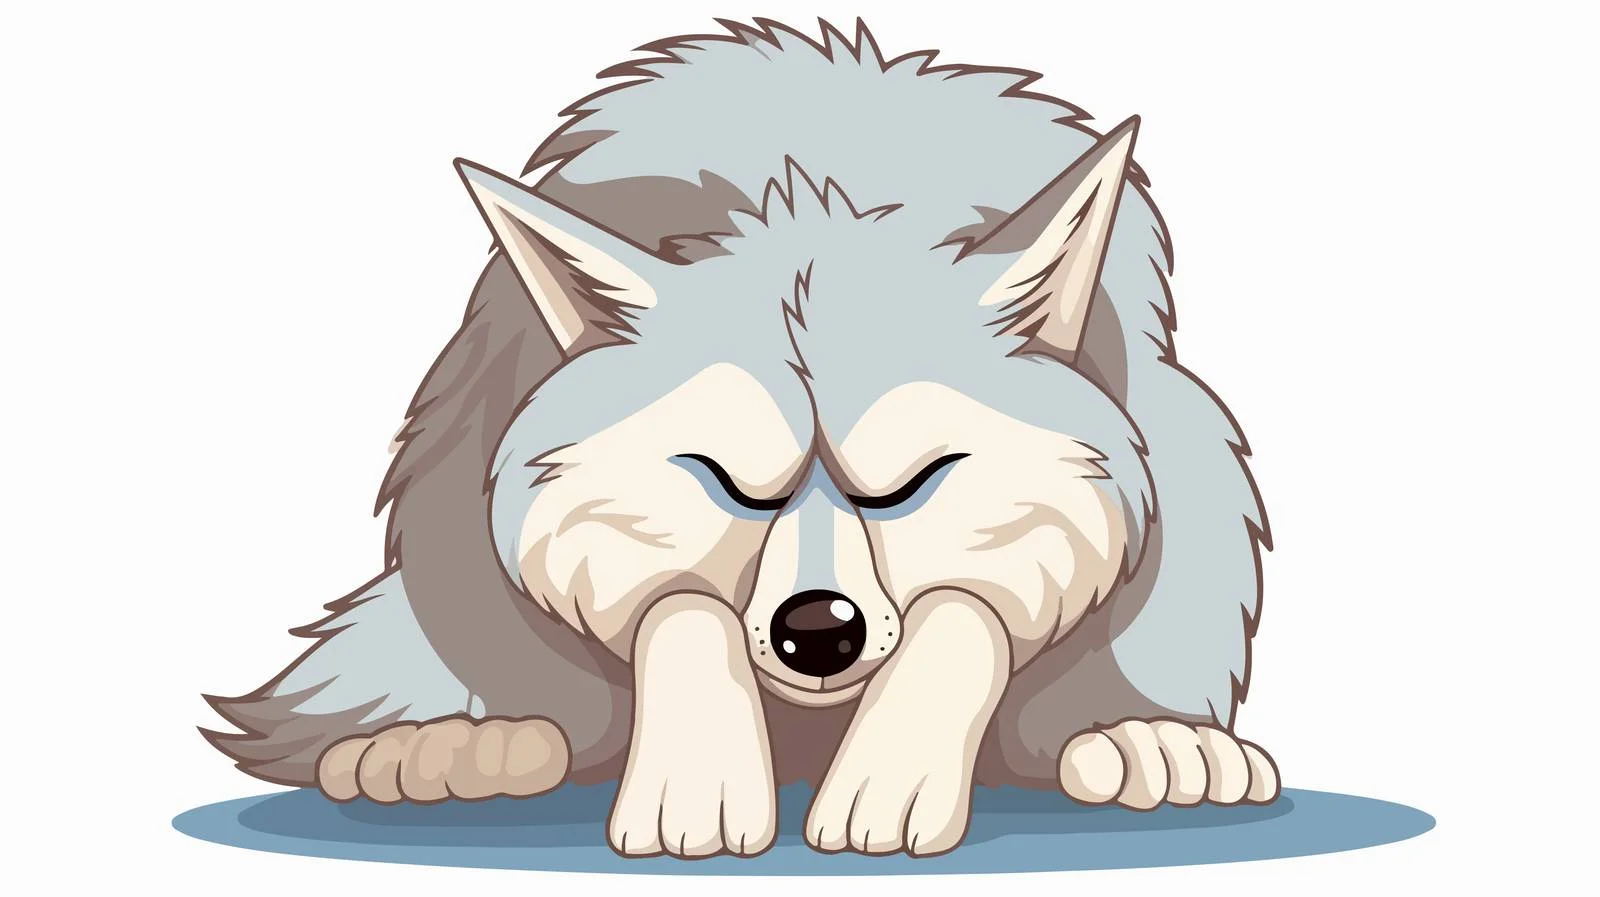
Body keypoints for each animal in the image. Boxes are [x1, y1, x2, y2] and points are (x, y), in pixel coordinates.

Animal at [203, 18, 1276, 858]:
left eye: (909, 483)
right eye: (728, 482)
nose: (819, 632)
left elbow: (966, 613)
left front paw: (890, 784)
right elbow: (677, 608)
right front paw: (697, 789)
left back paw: (1149, 737)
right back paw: (462, 738)